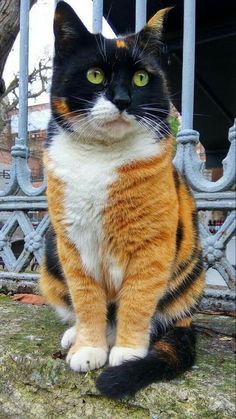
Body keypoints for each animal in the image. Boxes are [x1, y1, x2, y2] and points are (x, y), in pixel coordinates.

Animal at [39, 0, 205, 400]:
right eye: (95, 75)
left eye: (141, 79)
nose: (122, 100)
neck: (101, 157)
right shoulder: (73, 245)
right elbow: (86, 299)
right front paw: (88, 348)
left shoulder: (152, 246)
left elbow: (137, 299)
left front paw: (127, 352)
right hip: (50, 257)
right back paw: (74, 336)